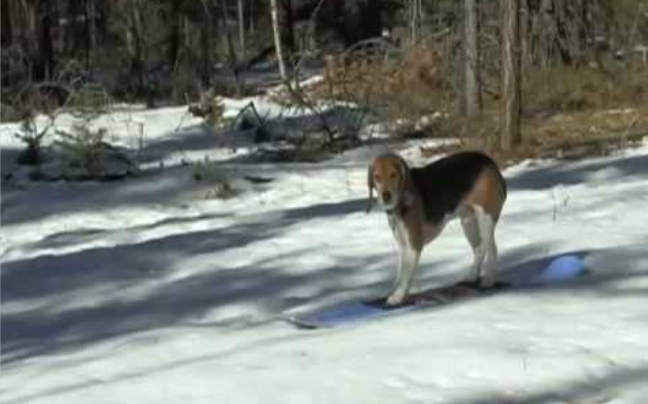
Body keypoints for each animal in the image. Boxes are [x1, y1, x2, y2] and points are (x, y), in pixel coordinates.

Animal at [368, 152, 508, 306]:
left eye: (394, 174)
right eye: (377, 176)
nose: (386, 196)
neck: (400, 204)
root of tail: (491, 163)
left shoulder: (414, 245)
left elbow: (406, 274)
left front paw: (398, 296)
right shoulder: (403, 245)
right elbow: (402, 272)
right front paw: (402, 292)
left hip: (485, 217)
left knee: (488, 248)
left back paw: (487, 279)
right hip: (468, 222)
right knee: (478, 248)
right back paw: (473, 277)